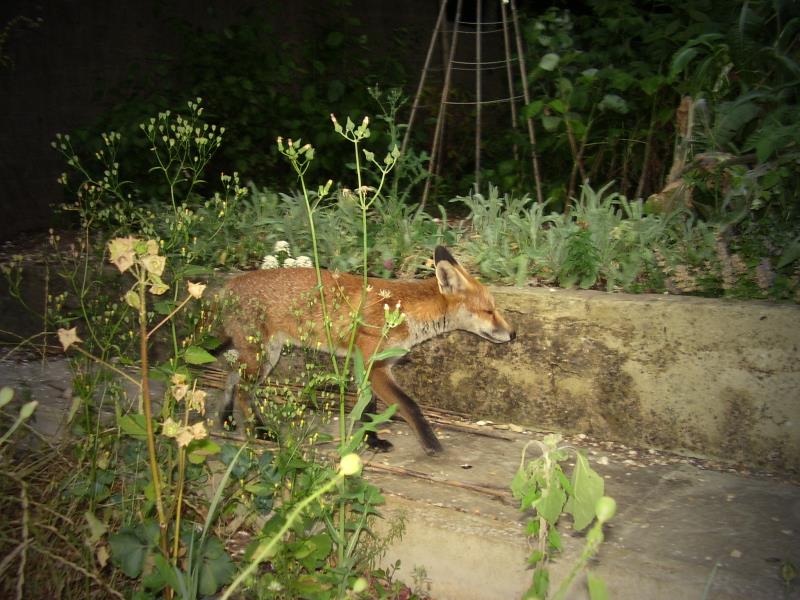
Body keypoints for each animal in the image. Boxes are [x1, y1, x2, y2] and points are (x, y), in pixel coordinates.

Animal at [219, 245, 520, 454]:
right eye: (489, 311)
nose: (514, 333)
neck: (404, 312)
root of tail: (227, 286)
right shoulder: (373, 366)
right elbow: (409, 405)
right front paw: (430, 444)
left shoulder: (370, 367)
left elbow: (368, 408)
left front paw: (371, 441)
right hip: (261, 356)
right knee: (243, 391)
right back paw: (260, 432)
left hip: (264, 357)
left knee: (231, 379)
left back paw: (227, 420)